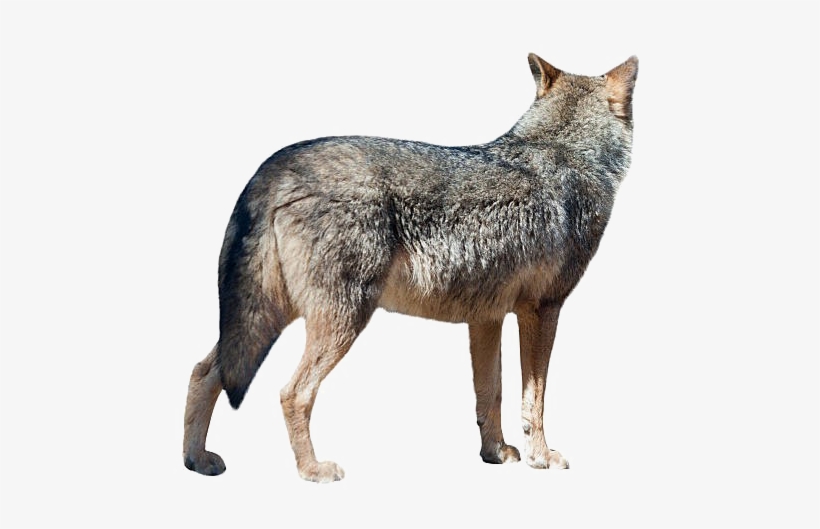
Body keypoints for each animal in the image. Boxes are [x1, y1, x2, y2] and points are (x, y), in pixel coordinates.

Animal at [183, 53, 638, 482]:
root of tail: (275, 166)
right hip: (340, 321)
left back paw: (196, 460)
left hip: (266, 319)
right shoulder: (542, 310)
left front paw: (494, 453)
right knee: (292, 393)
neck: (565, 151)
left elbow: (490, 394)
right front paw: (541, 458)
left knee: (202, 371)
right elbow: (534, 399)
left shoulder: (486, 319)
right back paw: (312, 470)